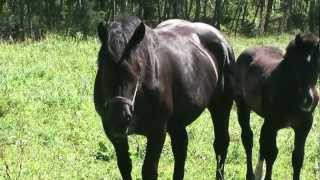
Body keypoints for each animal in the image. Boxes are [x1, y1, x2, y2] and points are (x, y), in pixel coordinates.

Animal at [94, 16, 234, 179]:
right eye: (103, 68)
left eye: (137, 70)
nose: (119, 117)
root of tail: (221, 39)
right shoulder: (113, 132)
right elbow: (124, 165)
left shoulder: (158, 130)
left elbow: (149, 170)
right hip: (177, 122)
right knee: (181, 148)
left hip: (221, 106)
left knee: (221, 144)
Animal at [232, 34, 320, 180]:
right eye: (297, 65)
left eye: (317, 65)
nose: (307, 101)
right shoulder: (273, 124)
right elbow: (271, 153)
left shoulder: (304, 126)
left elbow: (297, 157)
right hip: (243, 106)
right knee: (248, 138)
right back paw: (251, 174)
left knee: (262, 141)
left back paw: (258, 173)